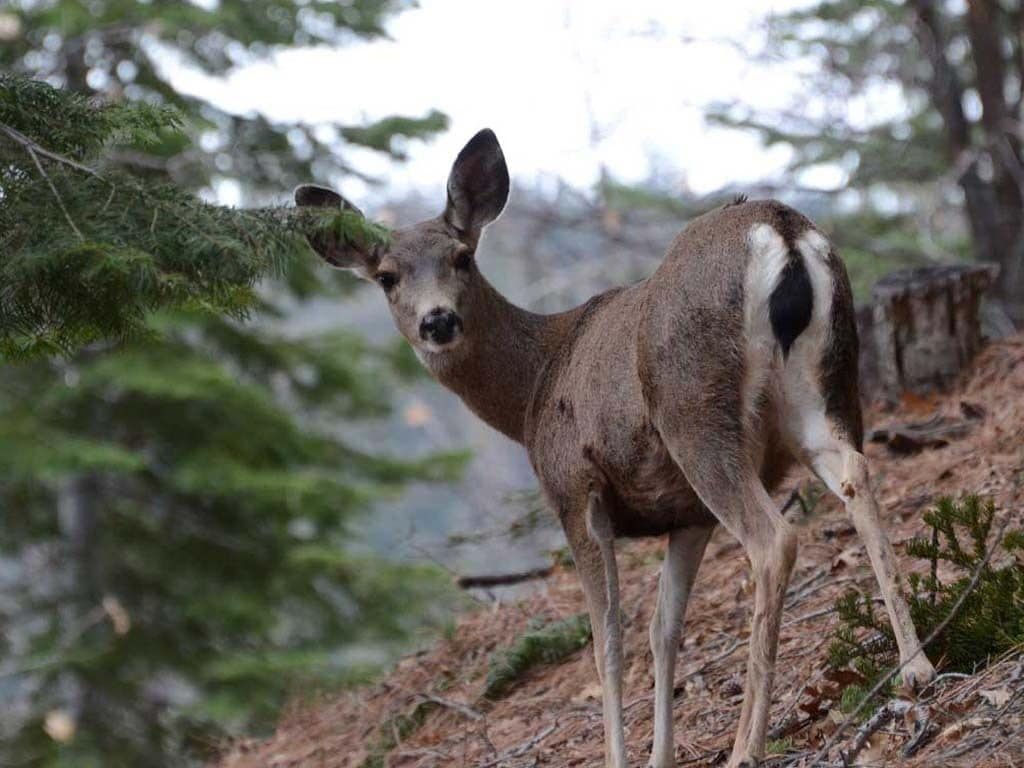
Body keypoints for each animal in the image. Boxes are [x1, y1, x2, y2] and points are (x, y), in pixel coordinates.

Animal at [294, 129, 936, 768]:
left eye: (462, 257)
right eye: (387, 276)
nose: (438, 321)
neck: (533, 388)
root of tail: (779, 228)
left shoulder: (576, 492)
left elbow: (607, 640)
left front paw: (621, 756)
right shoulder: (685, 514)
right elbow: (663, 629)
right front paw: (660, 756)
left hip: (694, 411)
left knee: (773, 538)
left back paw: (746, 747)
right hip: (827, 387)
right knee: (856, 471)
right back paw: (916, 668)